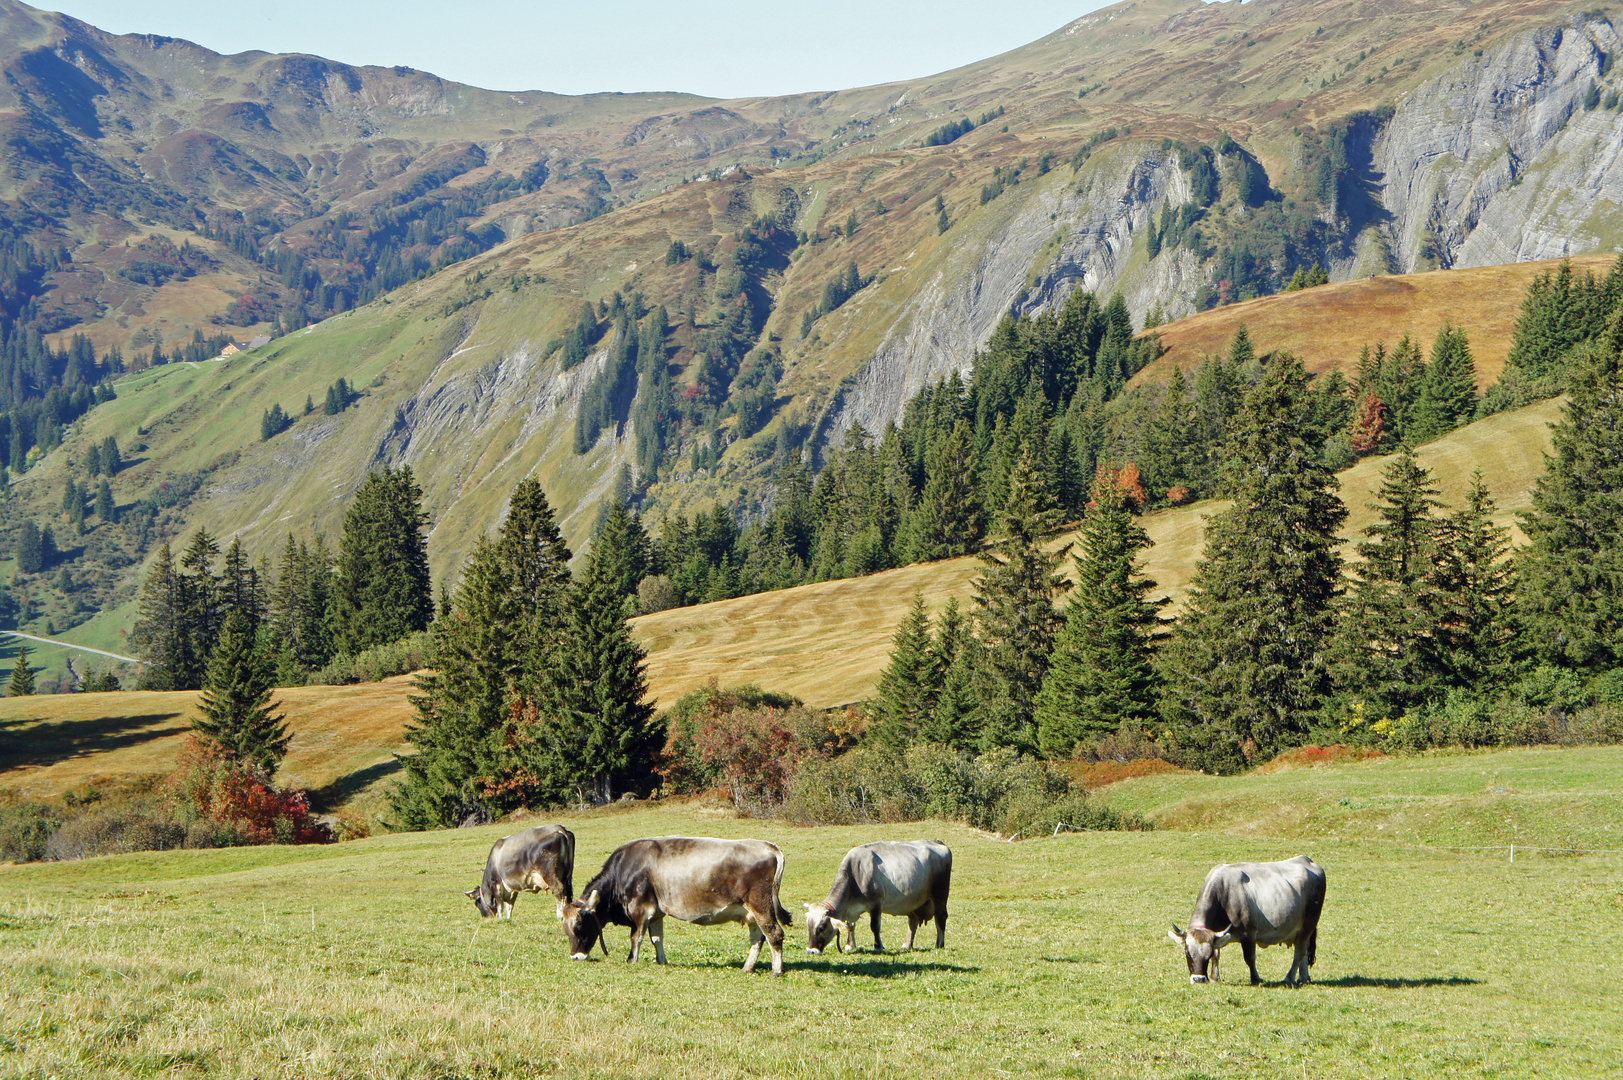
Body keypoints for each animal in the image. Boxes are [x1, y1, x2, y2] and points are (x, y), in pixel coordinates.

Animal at [558, 831, 792, 974]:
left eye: (579, 927)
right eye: (566, 930)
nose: (575, 957)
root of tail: (768, 846)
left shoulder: (640, 909)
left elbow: (636, 937)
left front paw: (631, 960)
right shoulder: (656, 912)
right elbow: (656, 938)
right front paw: (661, 960)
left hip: (761, 905)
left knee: (774, 934)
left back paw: (776, 971)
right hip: (751, 912)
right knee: (758, 938)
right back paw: (747, 967)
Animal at [801, 831, 947, 954]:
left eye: (821, 927)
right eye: (808, 926)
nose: (811, 950)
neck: (855, 875)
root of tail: (936, 841)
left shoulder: (876, 903)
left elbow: (875, 926)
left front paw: (878, 946)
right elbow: (850, 925)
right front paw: (849, 945)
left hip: (940, 894)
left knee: (940, 916)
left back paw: (939, 944)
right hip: (913, 901)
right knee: (913, 921)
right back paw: (907, 945)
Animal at [1168, 857, 1330, 980]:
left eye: (1206, 955)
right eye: (1187, 952)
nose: (1198, 979)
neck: (1223, 895)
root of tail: (1307, 860)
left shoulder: (1249, 933)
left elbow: (1250, 958)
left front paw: (1255, 979)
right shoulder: (1216, 934)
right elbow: (1217, 955)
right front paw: (1215, 978)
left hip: (1308, 925)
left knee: (1299, 952)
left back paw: (1289, 978)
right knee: (1303, 951)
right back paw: (1303, 978)